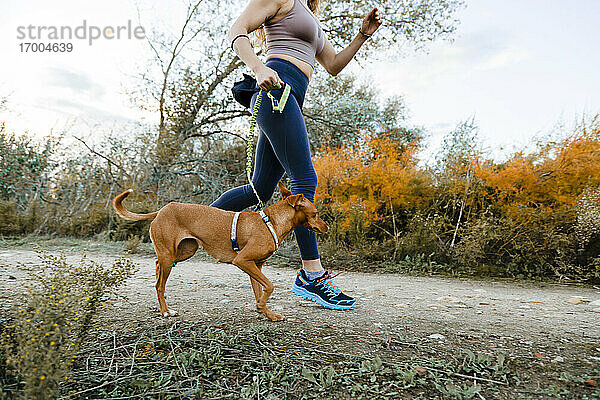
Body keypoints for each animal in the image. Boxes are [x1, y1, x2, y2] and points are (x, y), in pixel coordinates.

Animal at [112, 183, 328, 320]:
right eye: (316, 213)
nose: (326, 227)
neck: (271, 223)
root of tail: (162, 210)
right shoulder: (242, 260)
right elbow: (270, 286)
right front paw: (263, 309)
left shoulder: (255, 266)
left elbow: (260, 290)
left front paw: (266, 312)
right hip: (169, 255)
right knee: (159, 285)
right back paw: (166, 312)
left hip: (183, 251)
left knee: (157, 267)